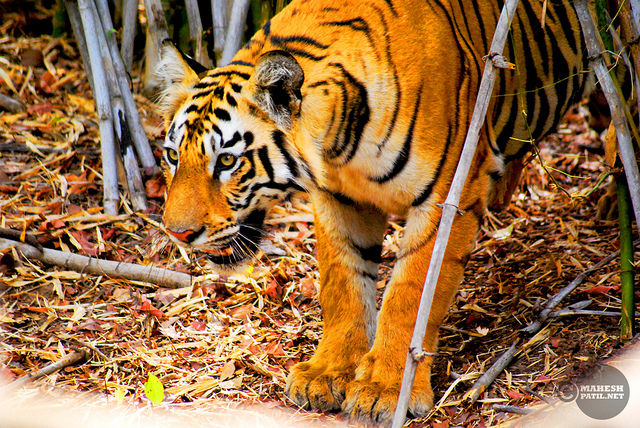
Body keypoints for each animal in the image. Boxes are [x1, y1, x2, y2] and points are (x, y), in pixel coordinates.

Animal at [154, 0, 592, 424]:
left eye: (227, 161)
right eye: (173, 155)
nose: (177, 233)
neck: (339, 147)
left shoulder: (446, 198)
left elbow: (410, 296)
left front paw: (386, 390)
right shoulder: (340, 199)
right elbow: (343, 286)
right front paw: (327, 375)